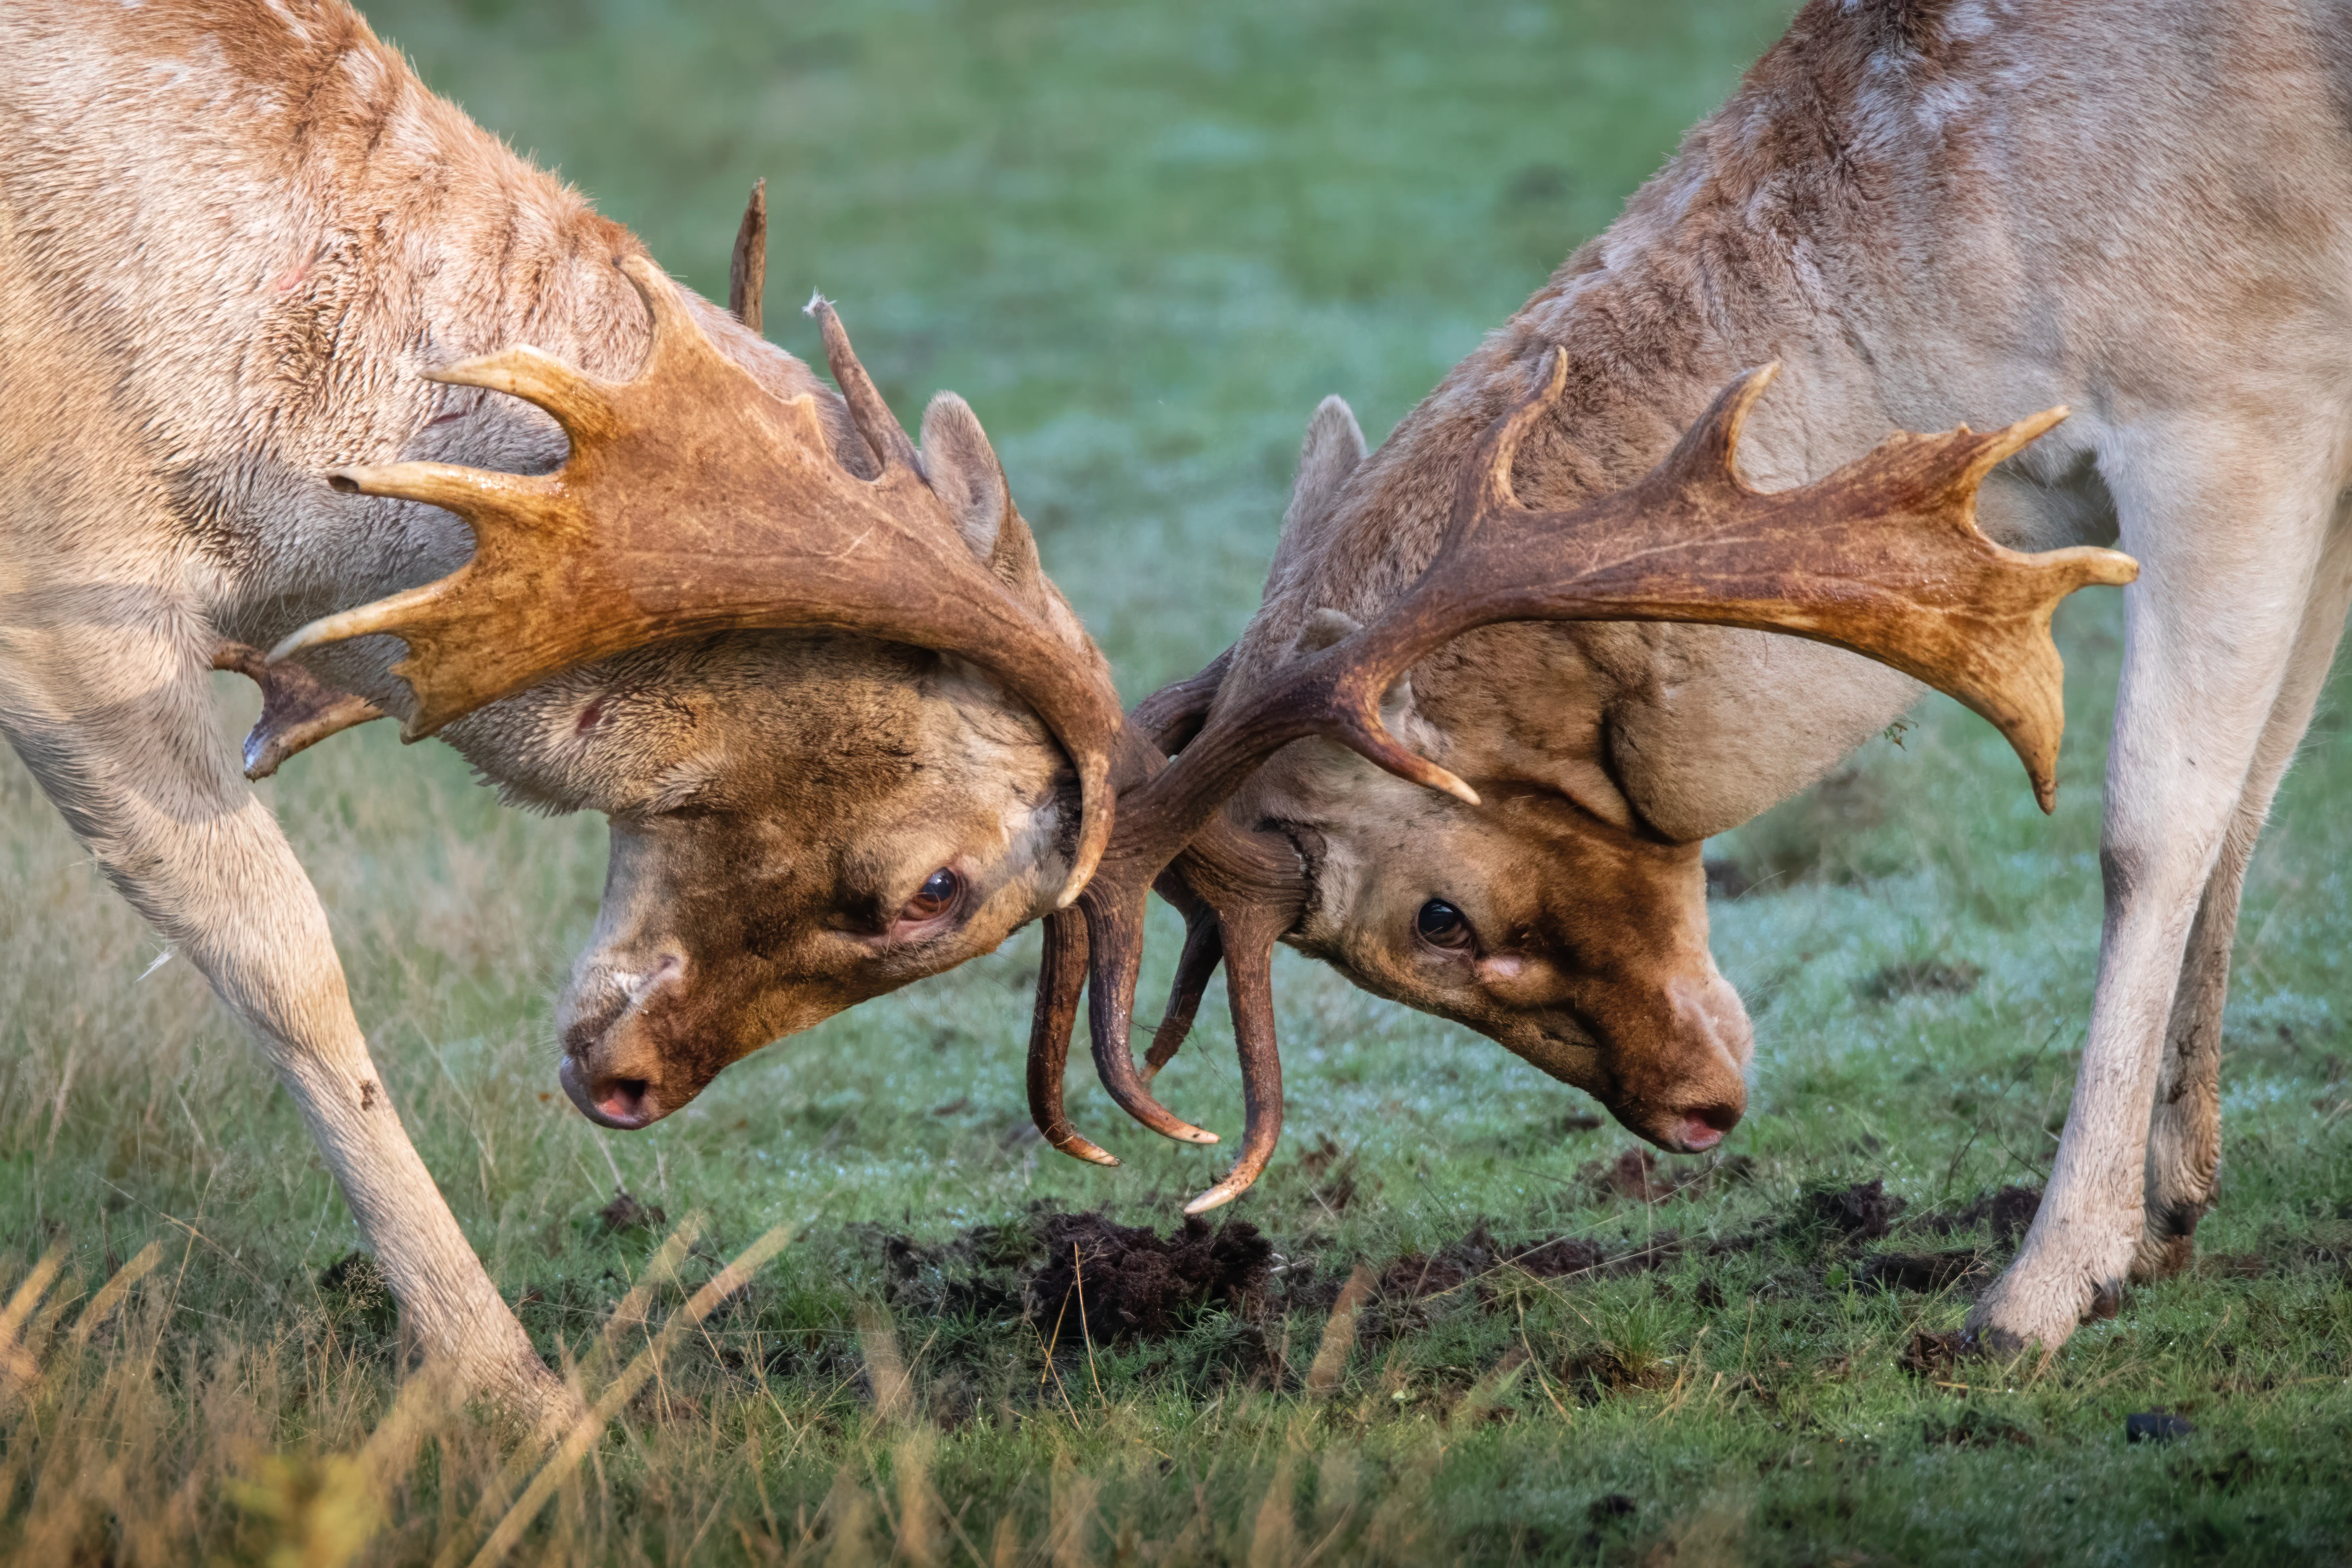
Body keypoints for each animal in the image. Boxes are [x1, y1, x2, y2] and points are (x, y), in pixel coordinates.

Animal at [1026, 0, 2349, 1358]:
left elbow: (2150, 830)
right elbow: (2247, 800)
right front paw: (2169, 1211)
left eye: (1435, 918)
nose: (1693, 1114)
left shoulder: (2230, 407)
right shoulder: (2316, 447)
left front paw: (2044, 1282)